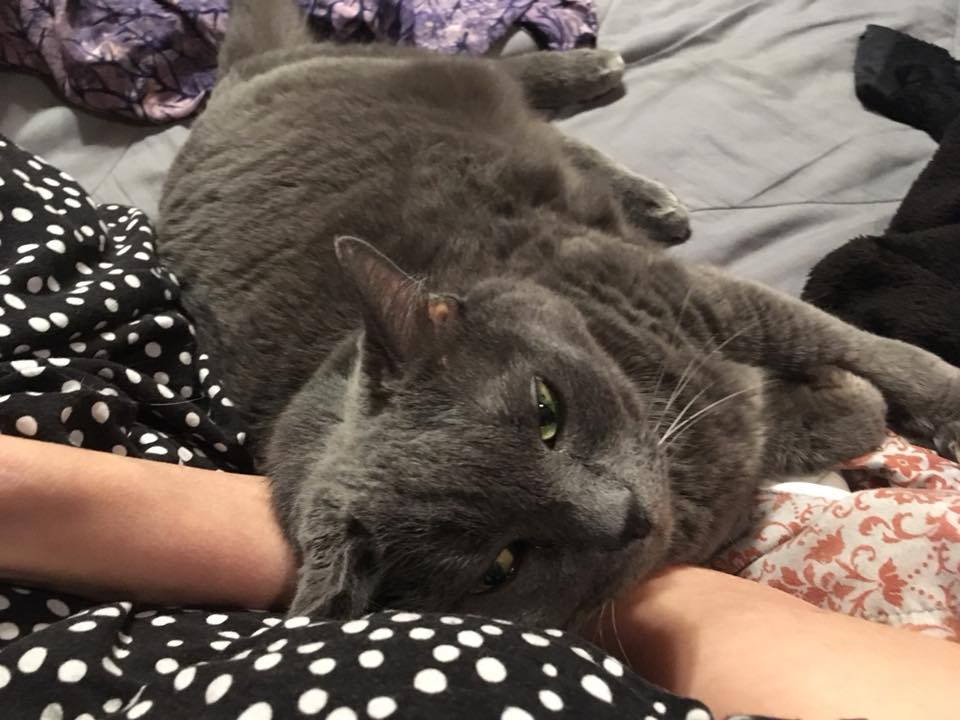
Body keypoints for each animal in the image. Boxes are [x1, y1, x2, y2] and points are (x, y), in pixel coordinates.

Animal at [158, 0, 960, 632]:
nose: (626, 516)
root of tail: (229, 87)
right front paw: (839, 404)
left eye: (546, 411)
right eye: (501, 565)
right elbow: (825, 416)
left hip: (413, 76)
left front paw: (934, 404)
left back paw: (612, 106)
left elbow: (869, 350)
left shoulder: (711, 298)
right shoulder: (728, 463)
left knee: (495, 74)